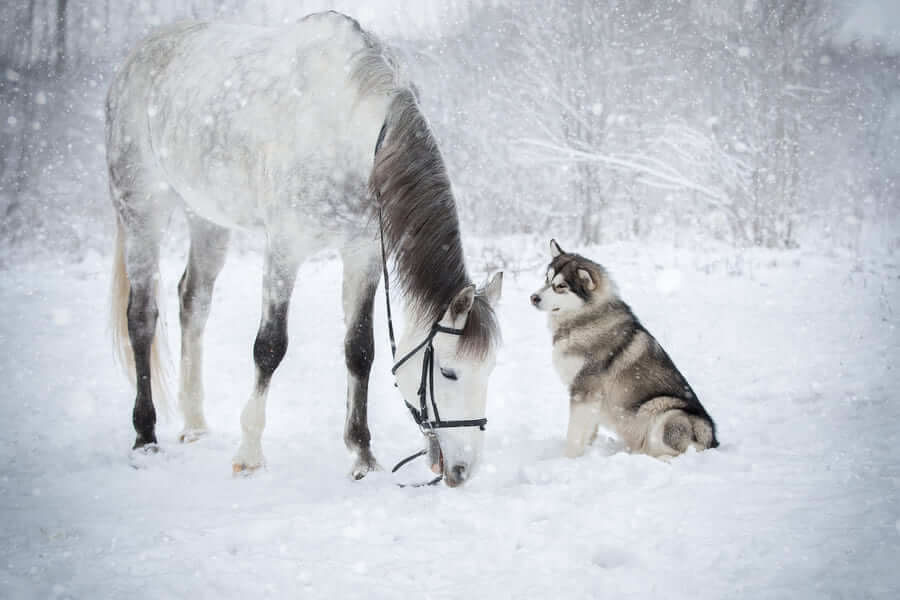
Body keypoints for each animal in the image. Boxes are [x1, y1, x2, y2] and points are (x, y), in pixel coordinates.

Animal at [109, 11, 502, 486]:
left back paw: (196, 425)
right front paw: (249, 454)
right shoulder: (284, 249)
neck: (349, 128)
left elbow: (360, 350)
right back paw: (145, 436)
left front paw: (362, 456)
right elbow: (270, 347)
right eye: (448, 371)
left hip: (207, 219)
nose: (463, 469)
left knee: (193, 301)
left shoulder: (363, 253)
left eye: (490, 369)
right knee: (141, 318)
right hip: (141, 211)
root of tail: (137, 56)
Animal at [532, 240, 720, 460]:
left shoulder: (584, 389)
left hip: (662, 409)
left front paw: (568, 459)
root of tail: (713, 441)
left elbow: (574, 434)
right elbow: (588, 432)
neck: (584, 319)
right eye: (547, 279)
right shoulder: (590, 398)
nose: (533, 297)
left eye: (561, 286)